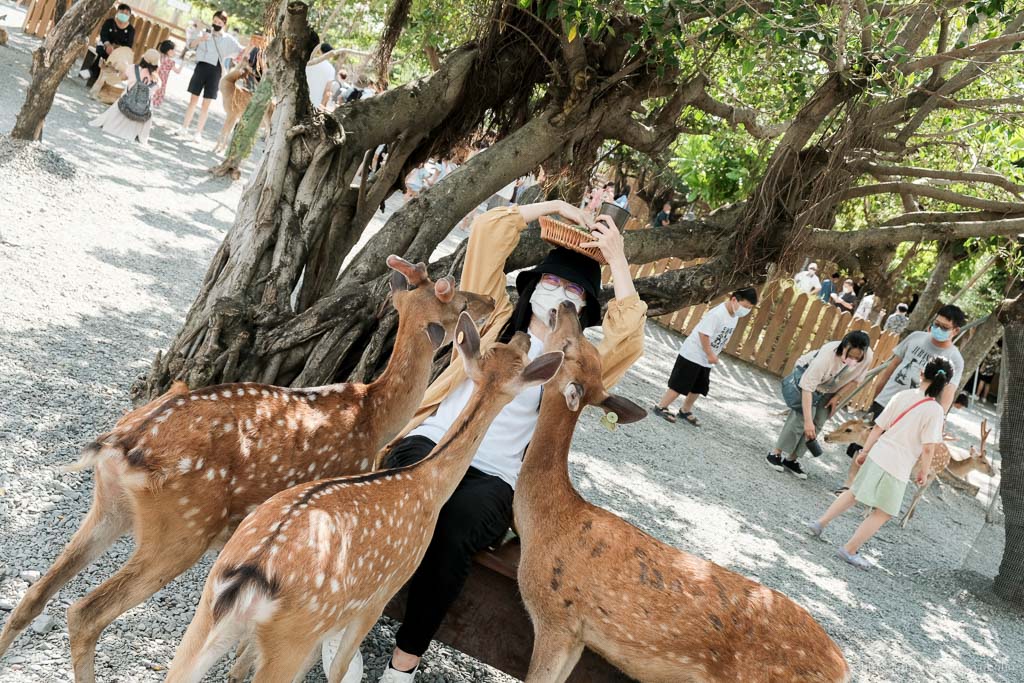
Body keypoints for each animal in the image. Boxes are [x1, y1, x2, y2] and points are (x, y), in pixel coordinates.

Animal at [0, 255, 491, 683]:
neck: (373, 415)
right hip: (180, 531)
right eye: (457, 300)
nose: (489, 300)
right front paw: (240, 664)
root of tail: (121, 445)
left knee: (35, 596)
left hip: (110, 507)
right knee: (85, 612)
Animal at [167, 313, 569, 683]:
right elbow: (340, 666)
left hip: (206, 615)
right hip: (291, 635)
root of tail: (248, 577)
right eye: (518, 357)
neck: (428, 486)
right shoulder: (385, 589)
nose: (522, 334)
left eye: (503, 350)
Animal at [516, 305, 851, 683]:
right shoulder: (579, 635)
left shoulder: (556, 614)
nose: (569, 307)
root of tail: (843, 669)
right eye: (588, 351)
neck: (547, 519)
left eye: (569, 347)